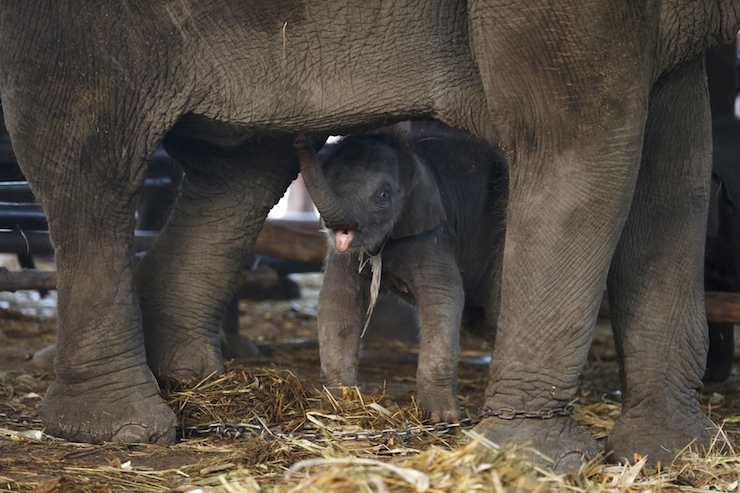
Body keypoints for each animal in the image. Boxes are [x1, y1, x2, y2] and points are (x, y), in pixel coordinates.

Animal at [294, 123, 508, 424]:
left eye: (383, 195)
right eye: (331, 179)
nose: (300, 139)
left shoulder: (432, 231)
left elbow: (445, 294)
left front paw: (439, 418)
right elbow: (338, 300)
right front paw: (338, 404)